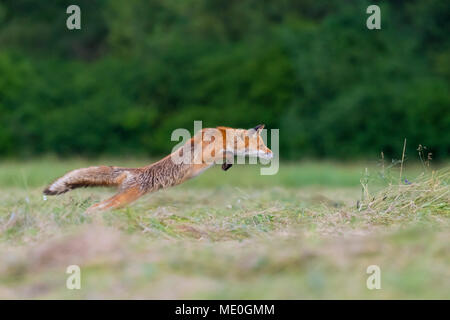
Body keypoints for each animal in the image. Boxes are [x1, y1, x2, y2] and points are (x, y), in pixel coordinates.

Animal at [44, 125, 272, 212]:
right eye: (262, 146)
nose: (271, 153)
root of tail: (135, 171)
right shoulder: (207, 153)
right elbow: (227, 152)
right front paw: (228, 159)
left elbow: (230, 154)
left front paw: (227, 163)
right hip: (124, 200)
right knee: (98, 207)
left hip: (121, 199)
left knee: (98, 206)